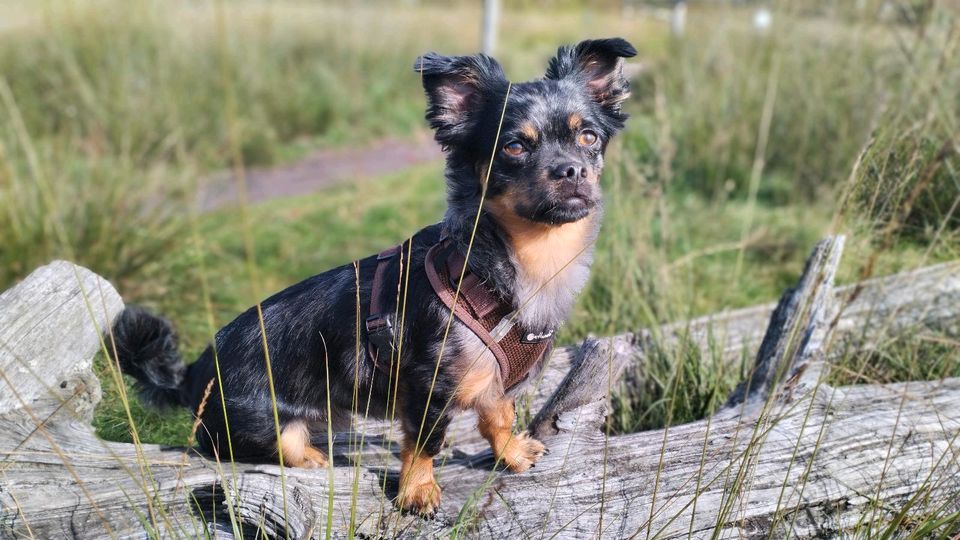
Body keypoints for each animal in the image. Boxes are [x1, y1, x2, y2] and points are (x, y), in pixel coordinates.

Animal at [110, 38, 636, 516]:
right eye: (513, 147)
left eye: (588, 137)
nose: (570, 171)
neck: (520, 262)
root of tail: (194, 372)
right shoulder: (429, 386)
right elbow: (423, 442)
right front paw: (417, 492)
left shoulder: (490, 382)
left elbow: (498, 417)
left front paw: (510, 454)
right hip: (266, 422)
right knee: (268, 445)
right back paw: (310, 457)